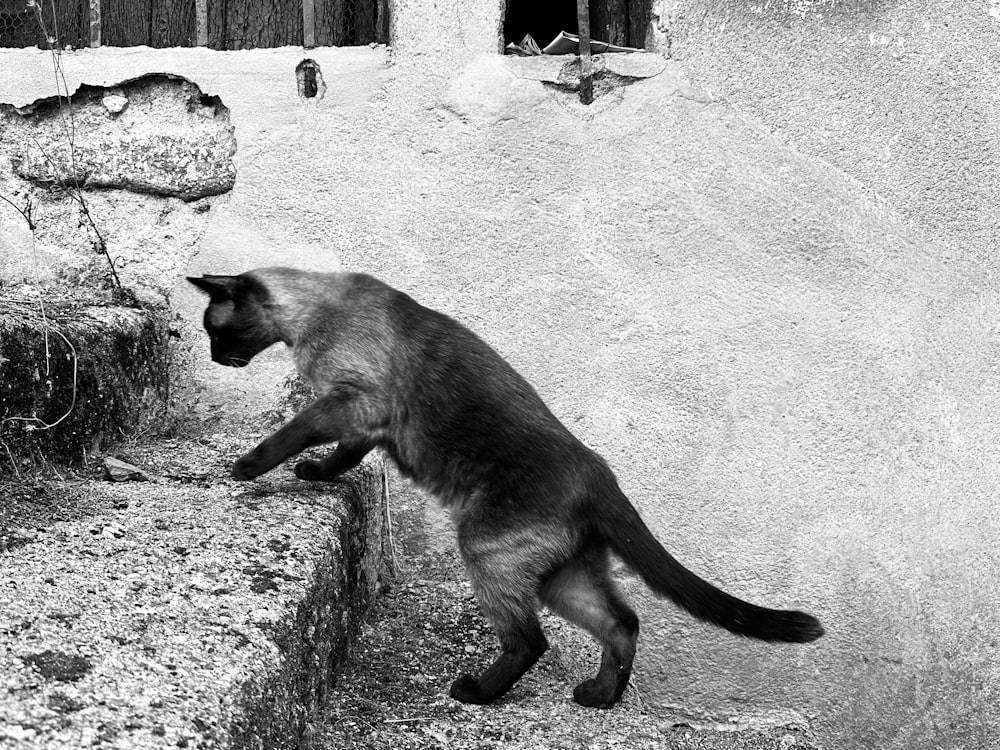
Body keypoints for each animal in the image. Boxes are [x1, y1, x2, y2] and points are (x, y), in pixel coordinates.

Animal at [188, 268, 820, 712]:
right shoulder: (364, 427)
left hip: (487, 551)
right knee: (622, 622)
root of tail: (600, 474)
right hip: (563, 577)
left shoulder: (353, 403)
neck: (314, 311)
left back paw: (475, 692)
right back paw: (598, 699)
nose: (217, 357)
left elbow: (291, 433)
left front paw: (246, 468)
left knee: (530, 641)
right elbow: (339, 457)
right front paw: (315, 475)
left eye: (215, 330)